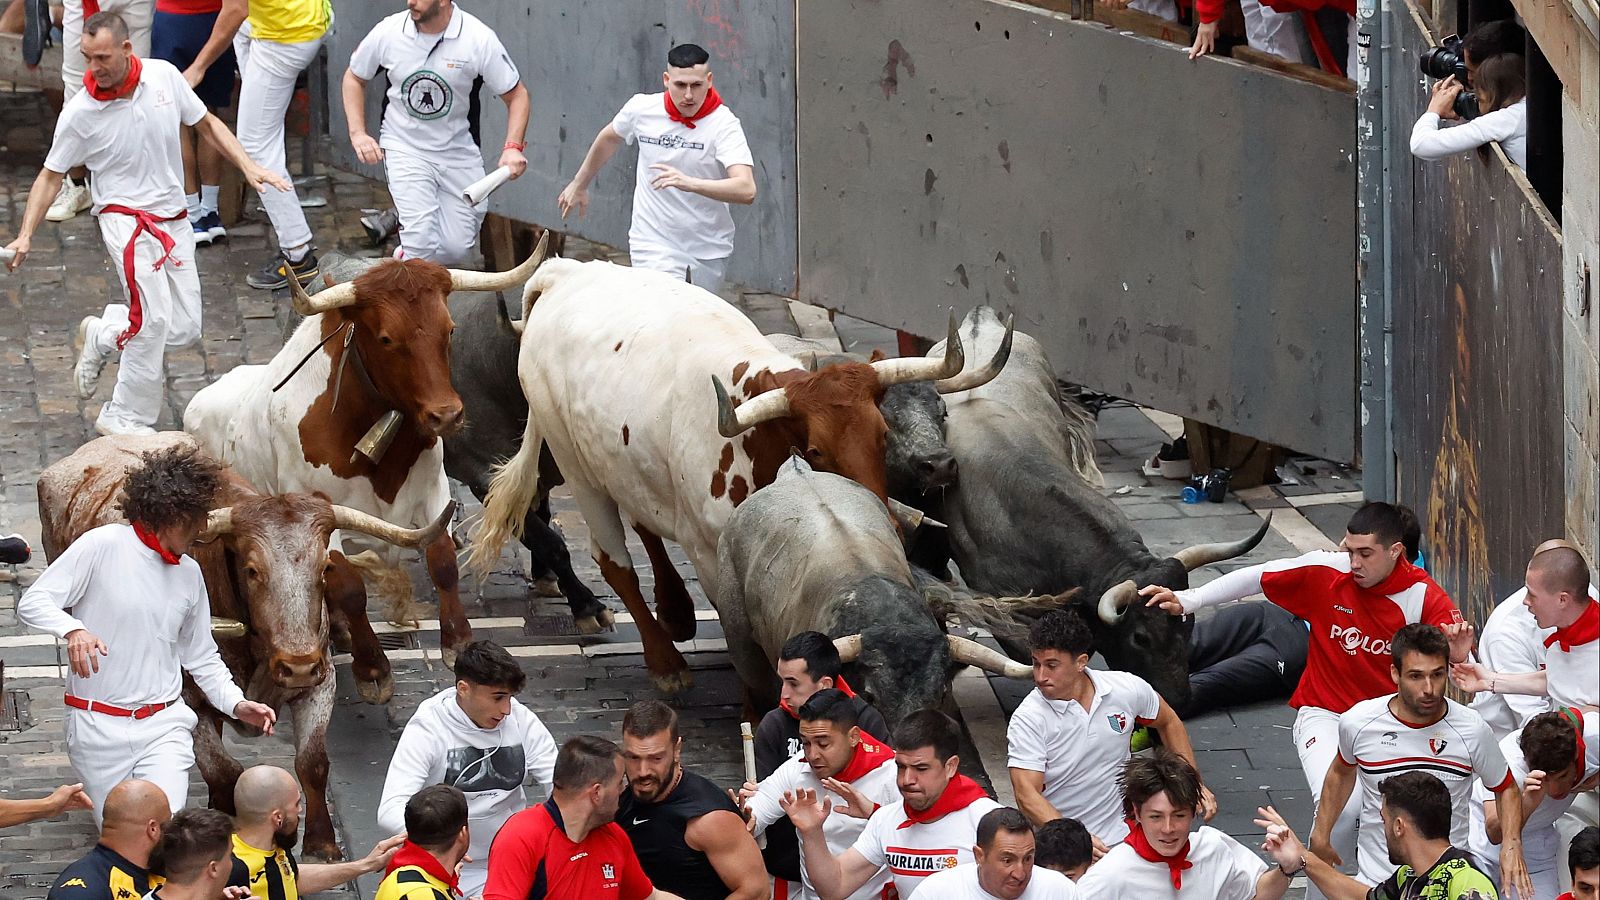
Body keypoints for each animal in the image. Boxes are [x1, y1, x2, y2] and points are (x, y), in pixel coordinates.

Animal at [39, 432, 451, 851]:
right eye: (253, 570)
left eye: (325, 568)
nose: (297, 666)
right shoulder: (188, 701)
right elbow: (226, 771)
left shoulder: (320, 683)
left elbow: (312, 762)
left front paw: (321, 845)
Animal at [180, 248, 531, 669]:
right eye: (386, 338)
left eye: (449, 329)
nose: (446, 415)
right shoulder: (320, 513)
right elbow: (347, 586)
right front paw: (372, 665)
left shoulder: (435, 491)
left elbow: (443, 561)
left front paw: (457, 641)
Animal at [467, 259, 1004, 695]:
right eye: (815, 449)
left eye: (882, 435)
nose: (885, 520)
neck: (759, 439)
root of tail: (564, 272)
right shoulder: (711, 551)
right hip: (576, 465)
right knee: (615, 562)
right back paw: (664, 661)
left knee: (644, 523)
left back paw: (677, 612)